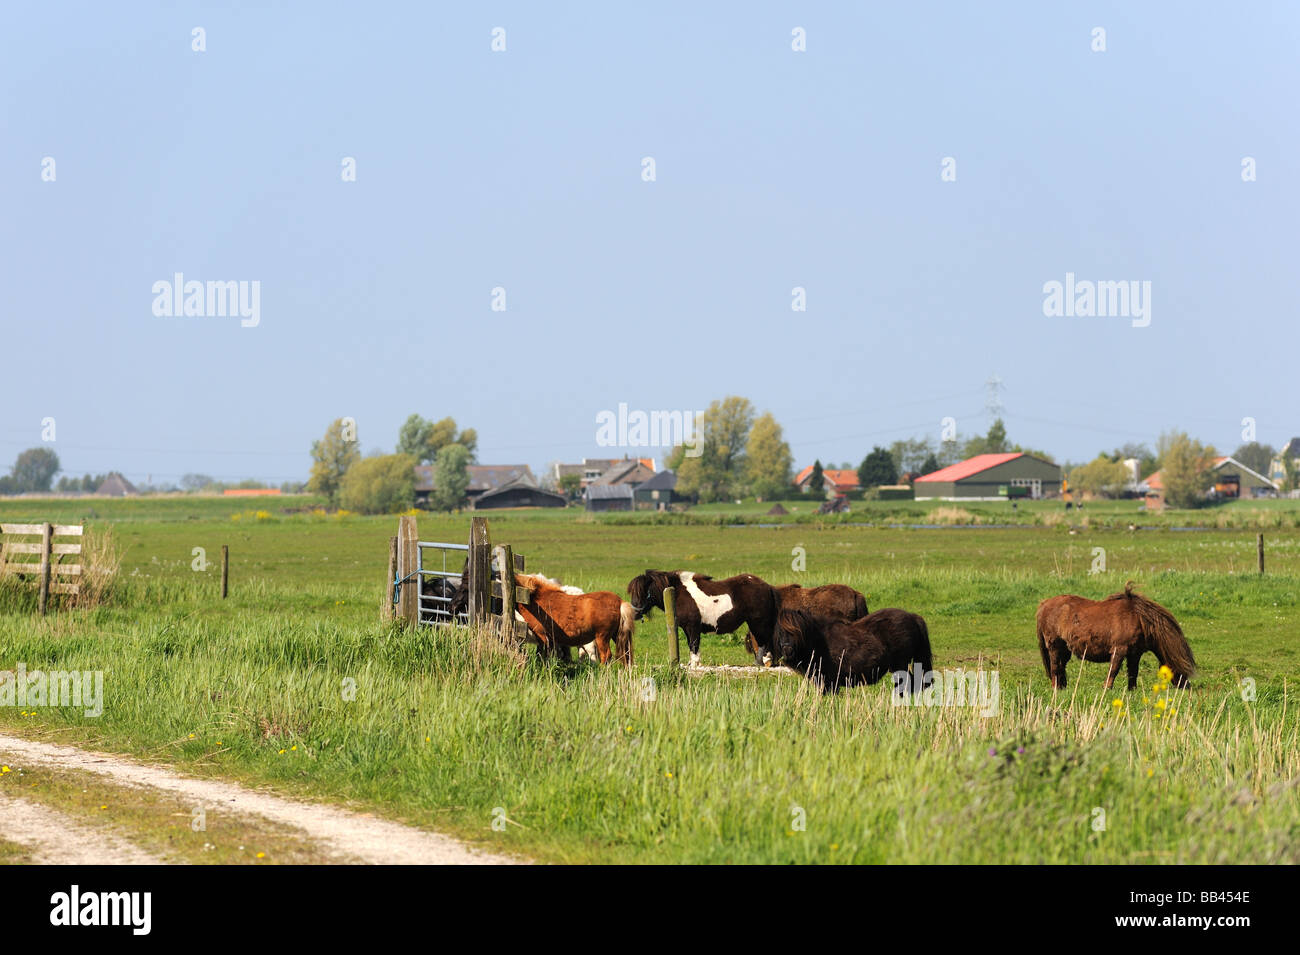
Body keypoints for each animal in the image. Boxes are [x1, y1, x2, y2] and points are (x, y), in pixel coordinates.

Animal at [774, 613, 930, 696]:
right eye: (780, 631)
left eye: (796, 631)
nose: (787, 650)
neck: (817, 641)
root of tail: (914, 617)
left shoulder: (828, 682)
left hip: (900, 666)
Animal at [1034, 579, 1196, 691]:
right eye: (1182, 669)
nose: (1186, 687)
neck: (1139, 619)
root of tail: (1044, 604)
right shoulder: (1119, 650)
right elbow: (1114, 670)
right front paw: (1107, 688)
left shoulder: (1135, 654)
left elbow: (1133, 672)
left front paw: (1132, 691)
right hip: (1054, 646)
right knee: (1055, 667)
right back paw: (1056, 688)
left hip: (1065, 649)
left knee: (1061, 667)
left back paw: (1063, 687)